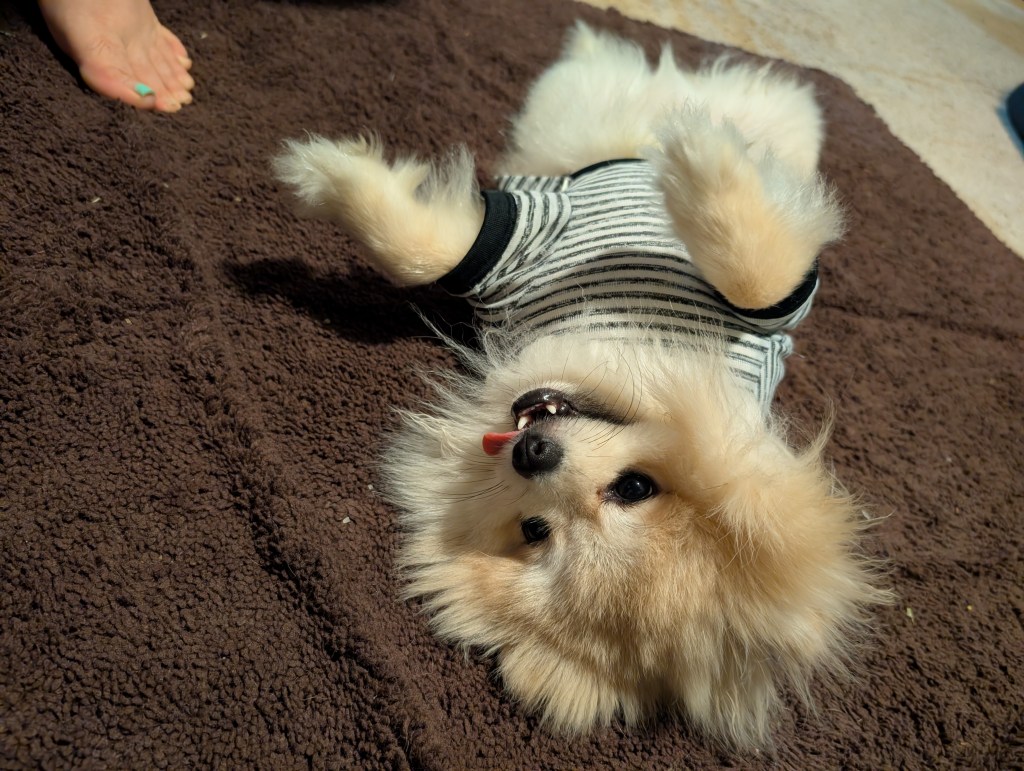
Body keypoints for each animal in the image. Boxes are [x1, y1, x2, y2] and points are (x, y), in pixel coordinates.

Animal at [273, 23, 888, 747]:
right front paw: (313, 170)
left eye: (538, 531)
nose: (533, 452)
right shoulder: (521, 245)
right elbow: (416, 252)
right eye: (637, 487)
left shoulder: (518, 243)